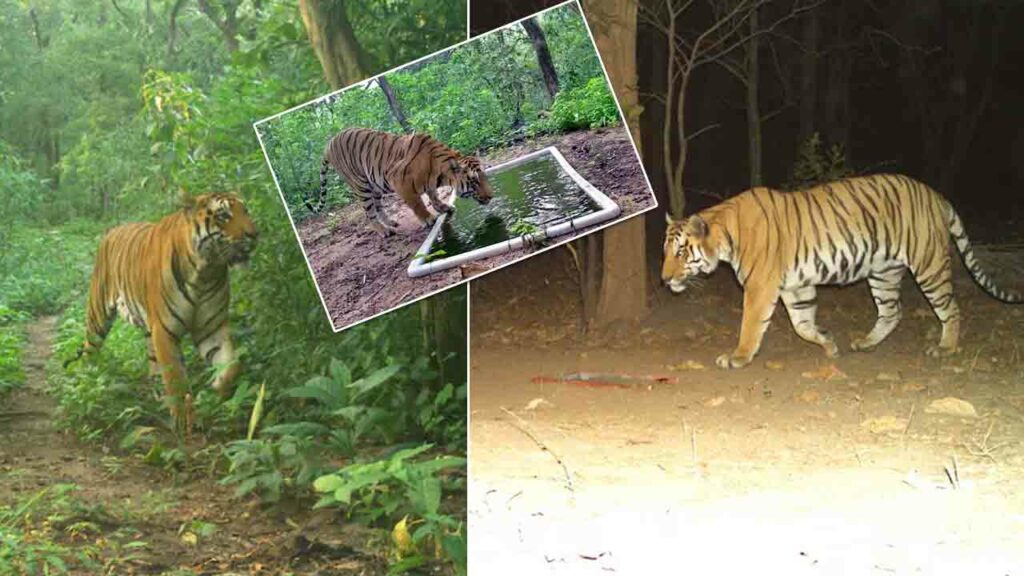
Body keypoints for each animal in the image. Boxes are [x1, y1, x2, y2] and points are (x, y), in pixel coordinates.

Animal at [64, 193, 258, 425]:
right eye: (223, 215)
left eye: (246, 211)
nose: (255, 234)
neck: (206, 271)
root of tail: (110, 232)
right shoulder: (165, 330)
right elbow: (176, 378)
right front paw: (184, 420)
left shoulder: (211, 328)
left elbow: (231, 367)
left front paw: (217, 391)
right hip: (98, 315)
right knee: (89, 350)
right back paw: (89, 384)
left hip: (148, 328)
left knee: (152, 363)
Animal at [304, 127, 493, 236]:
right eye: (474, 182)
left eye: (485, 178)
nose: (492, 196)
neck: (440, 172)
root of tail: (329, 144)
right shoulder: (399, 180)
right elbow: (417, 203)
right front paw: (428, 219)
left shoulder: (429, 185)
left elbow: (433, 195)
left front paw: (443, 207)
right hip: (361, 185)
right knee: (369, 213)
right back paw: (385, 231)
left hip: (375, 186)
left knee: (378, 207)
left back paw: (390, 222)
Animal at [661, 173, 1022, 369]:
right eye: (665, 252)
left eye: (681, 251)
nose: (664, 279)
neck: (725, 234)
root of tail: (937, 195)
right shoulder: (796, 287)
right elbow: (803, 325)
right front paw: (829, 344)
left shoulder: (761, 287)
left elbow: (751, 326)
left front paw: (737, 357)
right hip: (883, 272)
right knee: (892, 311)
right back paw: (866, 343)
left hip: (928, 264)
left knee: (950, 307)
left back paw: (945, 347)